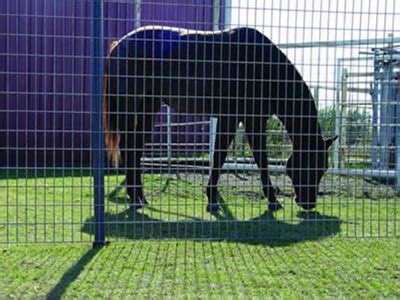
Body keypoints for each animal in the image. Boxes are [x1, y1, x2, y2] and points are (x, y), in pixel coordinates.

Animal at [102, 26, 334, 213]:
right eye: (311, 165)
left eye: (323, 168)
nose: (308, 203)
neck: (262, 65)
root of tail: (118, 45)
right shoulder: (242, 120)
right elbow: (247, 158)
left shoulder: (249, 120)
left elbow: (229, 157)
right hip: (129, 107)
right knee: (128, 146)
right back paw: (135, 199)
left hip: (149, 107)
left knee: (135, 148)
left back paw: (140, 197)